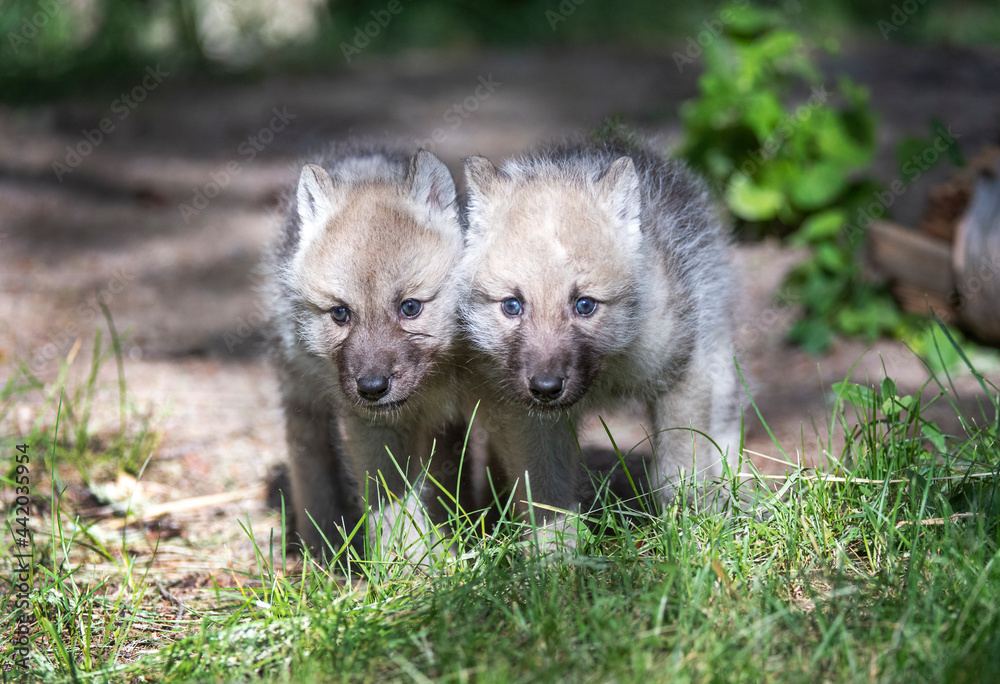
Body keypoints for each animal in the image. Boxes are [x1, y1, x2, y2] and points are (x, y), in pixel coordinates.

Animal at [266, 144, 468, 560]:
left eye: (410, 307)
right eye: (340, 313)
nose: (372, 388)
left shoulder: (452, 419)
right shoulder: (372, 427)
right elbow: (391, 506)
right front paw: (408, 567)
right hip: (302, 398)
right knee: (309, 463)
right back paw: (321, 550)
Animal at [458, 138, 742, 539]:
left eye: (585, 305)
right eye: (512, 306)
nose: (546, 388)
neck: (607, 375)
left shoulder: (683, 373)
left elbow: (681, 467)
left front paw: (690, 530)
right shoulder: (525, 417)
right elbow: (546, 494)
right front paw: (556, 552)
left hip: (717, 354)